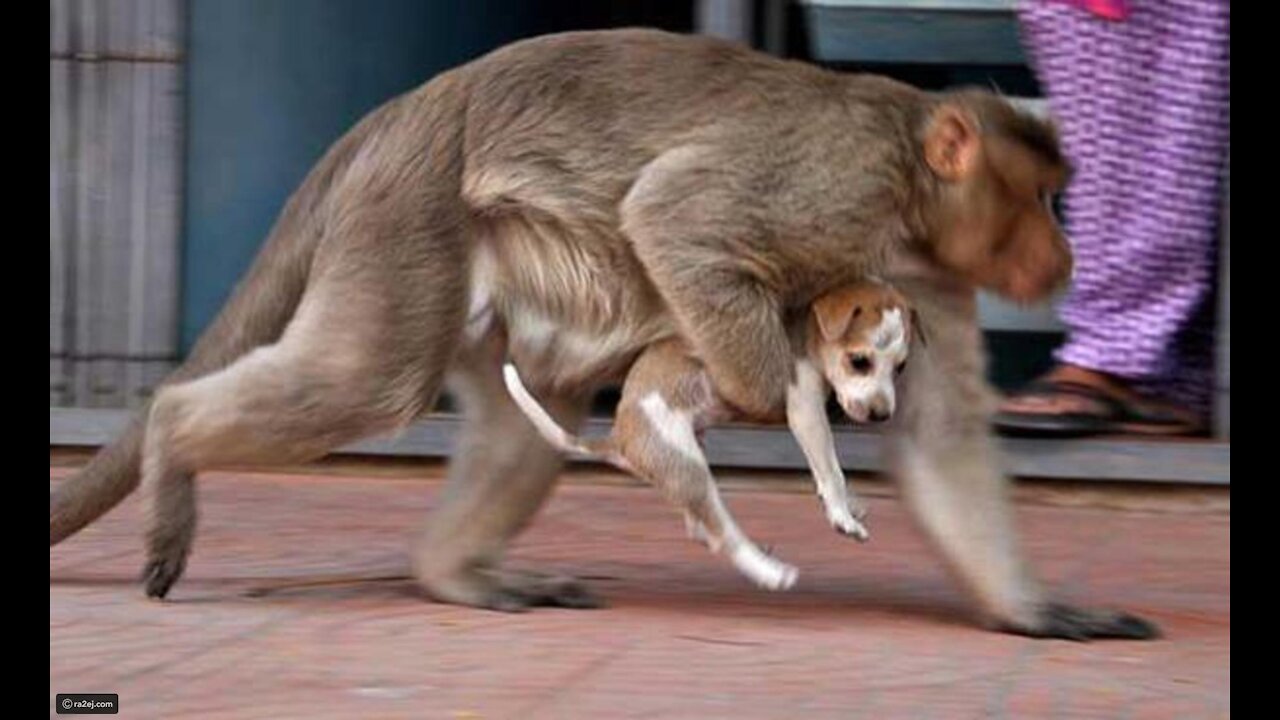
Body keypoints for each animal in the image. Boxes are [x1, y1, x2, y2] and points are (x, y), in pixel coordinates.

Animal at [499, 278, 911, 586]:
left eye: (900, 368)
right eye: (859, 361)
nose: (882, 415)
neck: (806, 328)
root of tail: (619, 438)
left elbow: (831, 471)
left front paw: (850, 504)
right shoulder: (805, 410)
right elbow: (831, 468)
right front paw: (843, 516)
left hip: (692, 454)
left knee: (702, 529)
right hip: (687, 467)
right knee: (723, 535)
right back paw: (770, 572)